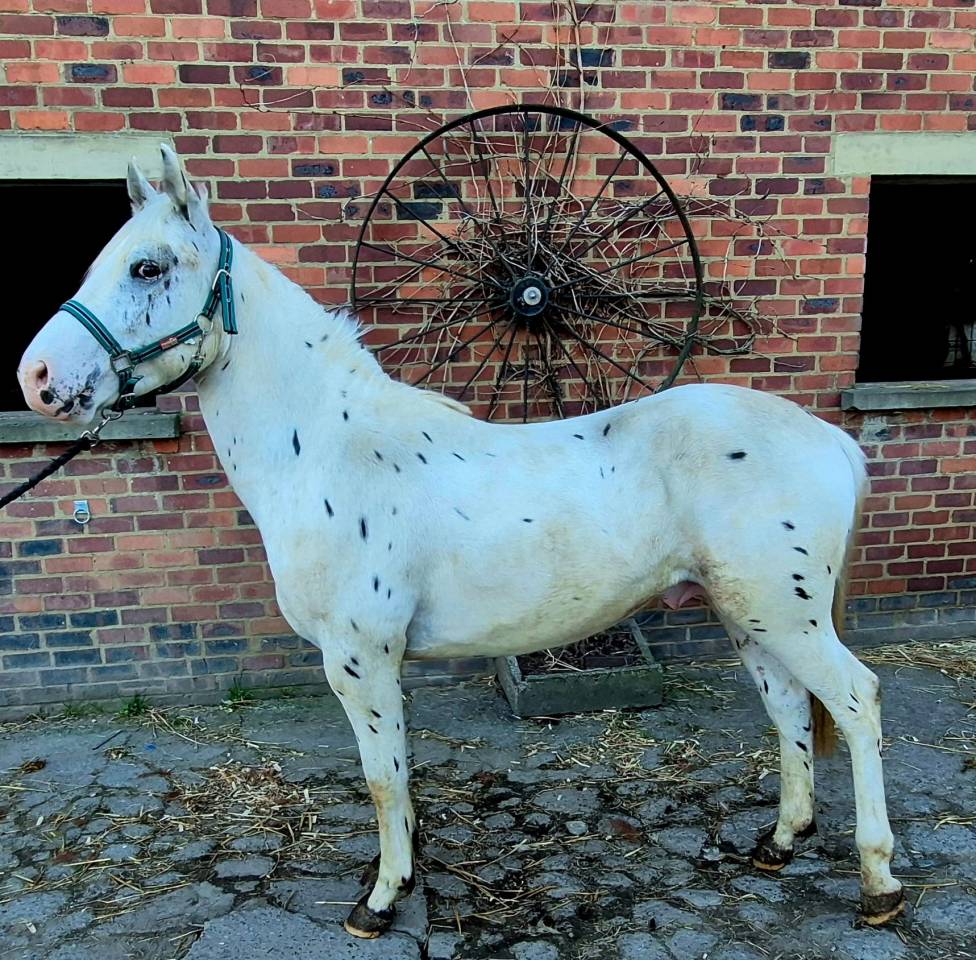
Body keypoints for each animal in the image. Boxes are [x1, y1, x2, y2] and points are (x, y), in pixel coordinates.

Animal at [16, 146, 905, 937]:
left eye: (148, 268)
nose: (38, 380)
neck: (327, 449)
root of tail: (831, 441)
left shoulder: (358, 657)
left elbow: (381, 781)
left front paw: (379, 903)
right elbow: (400, 777)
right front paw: (401, 879)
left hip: (786, 616)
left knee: (855, 701)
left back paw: (878, 883)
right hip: (748, 615)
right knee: (789, 708)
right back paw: (780, 842)